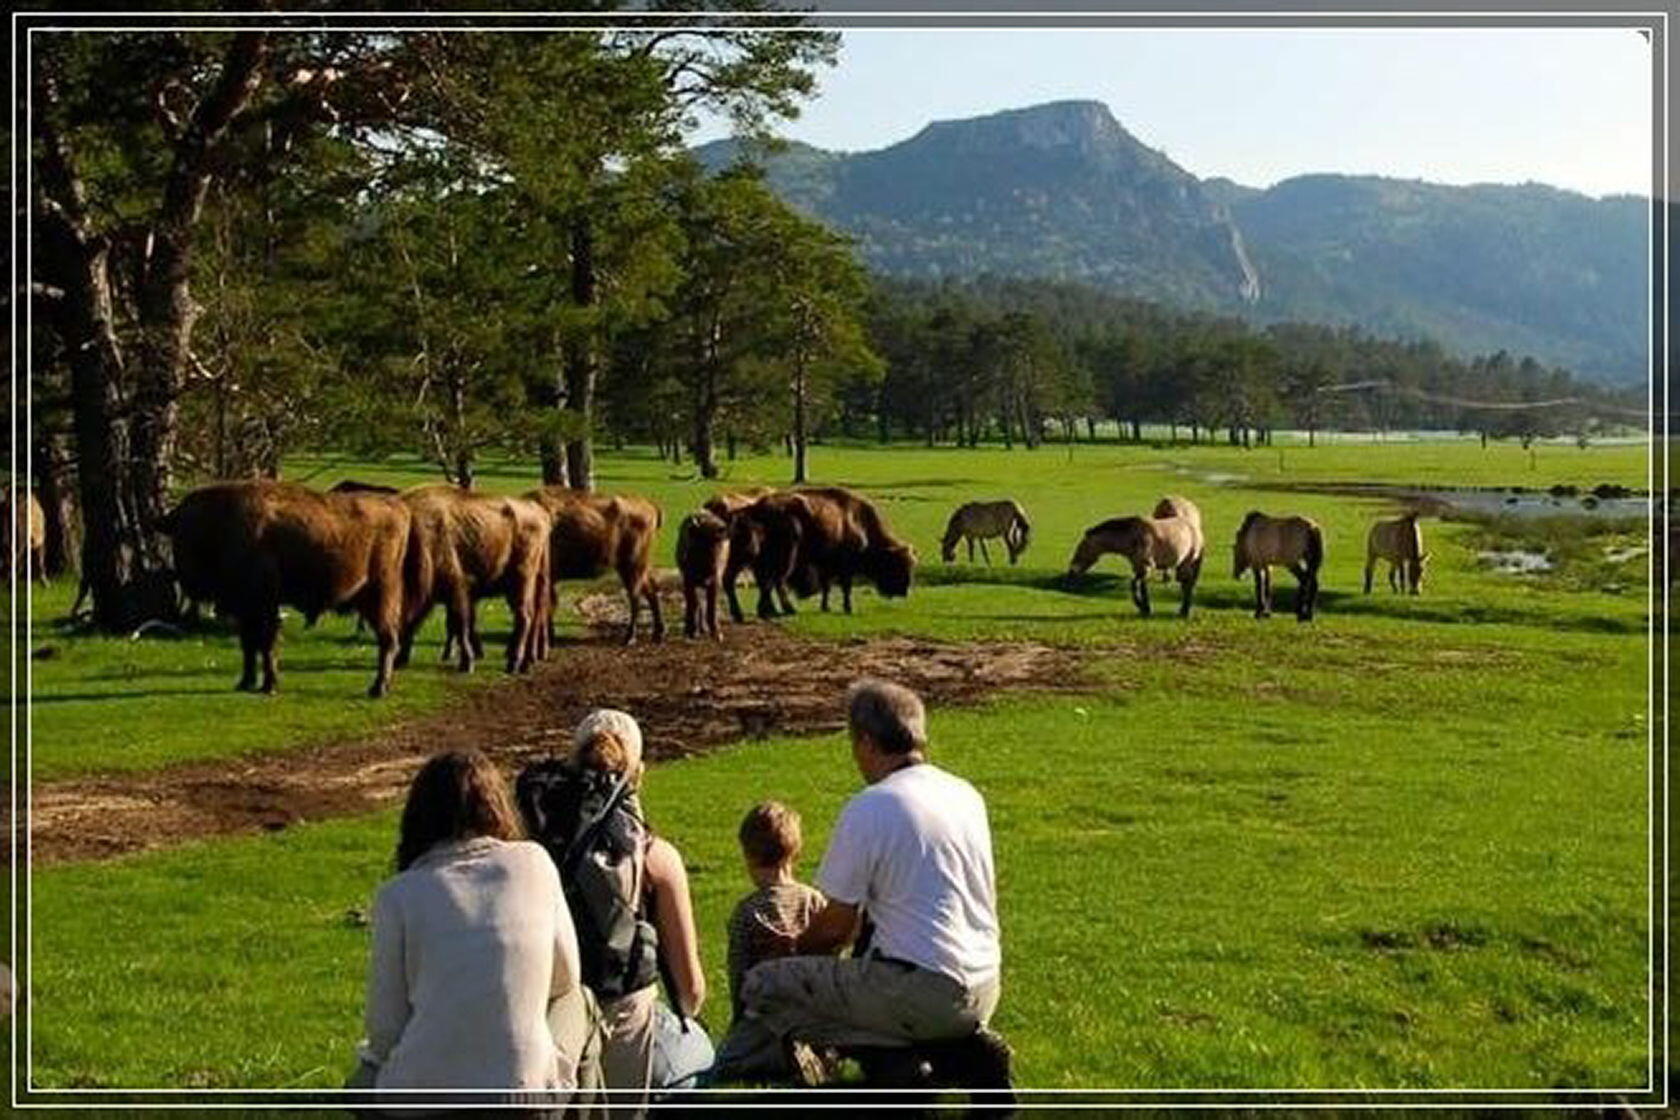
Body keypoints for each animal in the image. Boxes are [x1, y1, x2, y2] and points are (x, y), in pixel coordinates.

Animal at [158, 483, 414, 695]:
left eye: (193, 530)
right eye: (180, 531)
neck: (226, 522)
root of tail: (398, 508)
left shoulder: (265, 605)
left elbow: (266, 643)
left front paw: (269, 686)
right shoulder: (245, 609)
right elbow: (248, 644)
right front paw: (245, 682)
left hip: (380, 595)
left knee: (388, 639)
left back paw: (378, 689)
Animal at [394, 483, 547, 675]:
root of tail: (539, 514)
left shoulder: (456, 589)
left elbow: (460, 624)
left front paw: (467, 662)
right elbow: (421, 621)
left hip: (521, 579)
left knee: (524, 617)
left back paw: (513, 664)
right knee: (532, 617)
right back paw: (525, 664)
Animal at [524, 486, 661, 648]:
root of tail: (650, 506)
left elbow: (546, 605)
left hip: (632, 565)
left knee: (636, 597)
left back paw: (629, 638)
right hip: (635, 567)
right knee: (650, 591)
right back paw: (657, 634)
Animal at [675, 507, 729, 638]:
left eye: (717, 546)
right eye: (705, 527)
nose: (722, 529)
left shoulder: (714, 580)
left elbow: (711, 606)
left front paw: (716, 632)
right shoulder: (688, 579)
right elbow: (693, 603)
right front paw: (691, 630)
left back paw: (704, 628)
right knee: (697, 603)